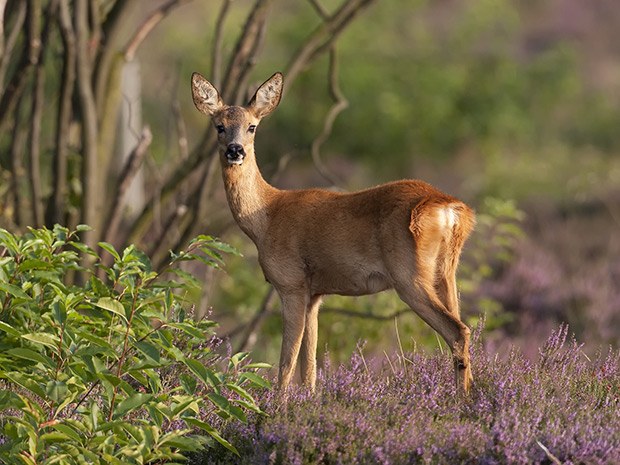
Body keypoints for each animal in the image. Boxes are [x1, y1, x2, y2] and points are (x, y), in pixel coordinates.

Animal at [191, 70, 478, 394]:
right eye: (219, 126)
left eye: (252, 126)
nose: (235, 151)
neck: (266, 216)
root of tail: (448, 206)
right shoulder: (315, 294)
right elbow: (309, 369)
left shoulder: (291, 283)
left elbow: (286, 364)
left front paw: (277, 405)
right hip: (447, 272)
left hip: (410, 275)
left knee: (458, 330)